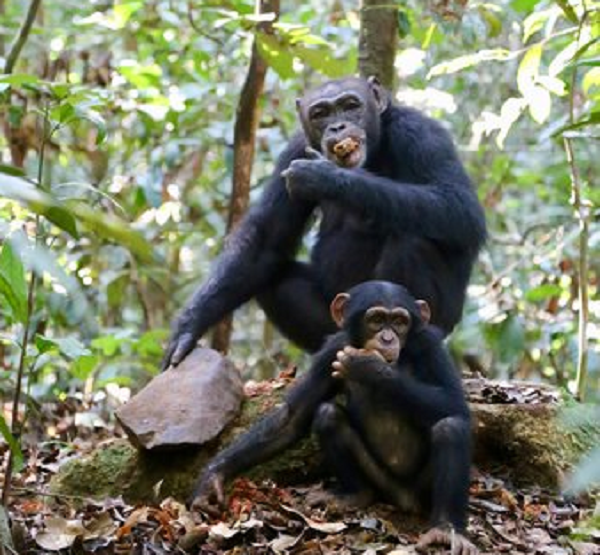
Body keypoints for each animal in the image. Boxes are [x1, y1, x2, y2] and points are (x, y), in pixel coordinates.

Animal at [162, 74, 486, 370]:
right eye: (320, 114)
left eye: (351, 105)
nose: (338, 126)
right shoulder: (293, 150)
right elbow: (264, 240)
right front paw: (189, 327)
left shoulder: (421, 133)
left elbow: (458, 205)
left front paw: (325, 177)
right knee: (276, 280)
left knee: (413, 238)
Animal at [195, 282, 476, 555]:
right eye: (376, 319)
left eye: (399, 322)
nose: (388, 338)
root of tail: (406, 499)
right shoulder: (332, 349)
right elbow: (293, 417)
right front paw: (213, 476)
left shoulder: (430, 344)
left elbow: (454, 402)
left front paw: (369, 368)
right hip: (383, 483)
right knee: (327, 415)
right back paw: (354, 495)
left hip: (422, 490)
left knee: (451, 427)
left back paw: (444, 529)